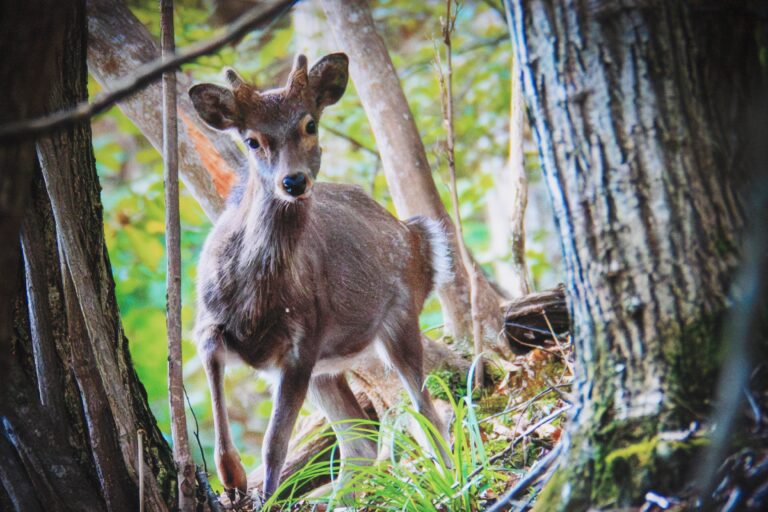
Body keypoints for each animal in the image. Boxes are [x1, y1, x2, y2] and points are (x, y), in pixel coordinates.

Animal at [189, 53, 450, 504]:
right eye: (251, 140)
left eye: (310, 124)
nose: (293, 181)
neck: (254, 302)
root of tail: (419, 237)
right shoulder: (208, 324)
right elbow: (217, 399)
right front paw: (232, 478)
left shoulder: (303, 342)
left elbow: (274, 445)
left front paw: (262, 496)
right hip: (326, 370)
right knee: (360, 441)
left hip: (399, 319)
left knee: (424, 409)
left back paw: (455, 481)